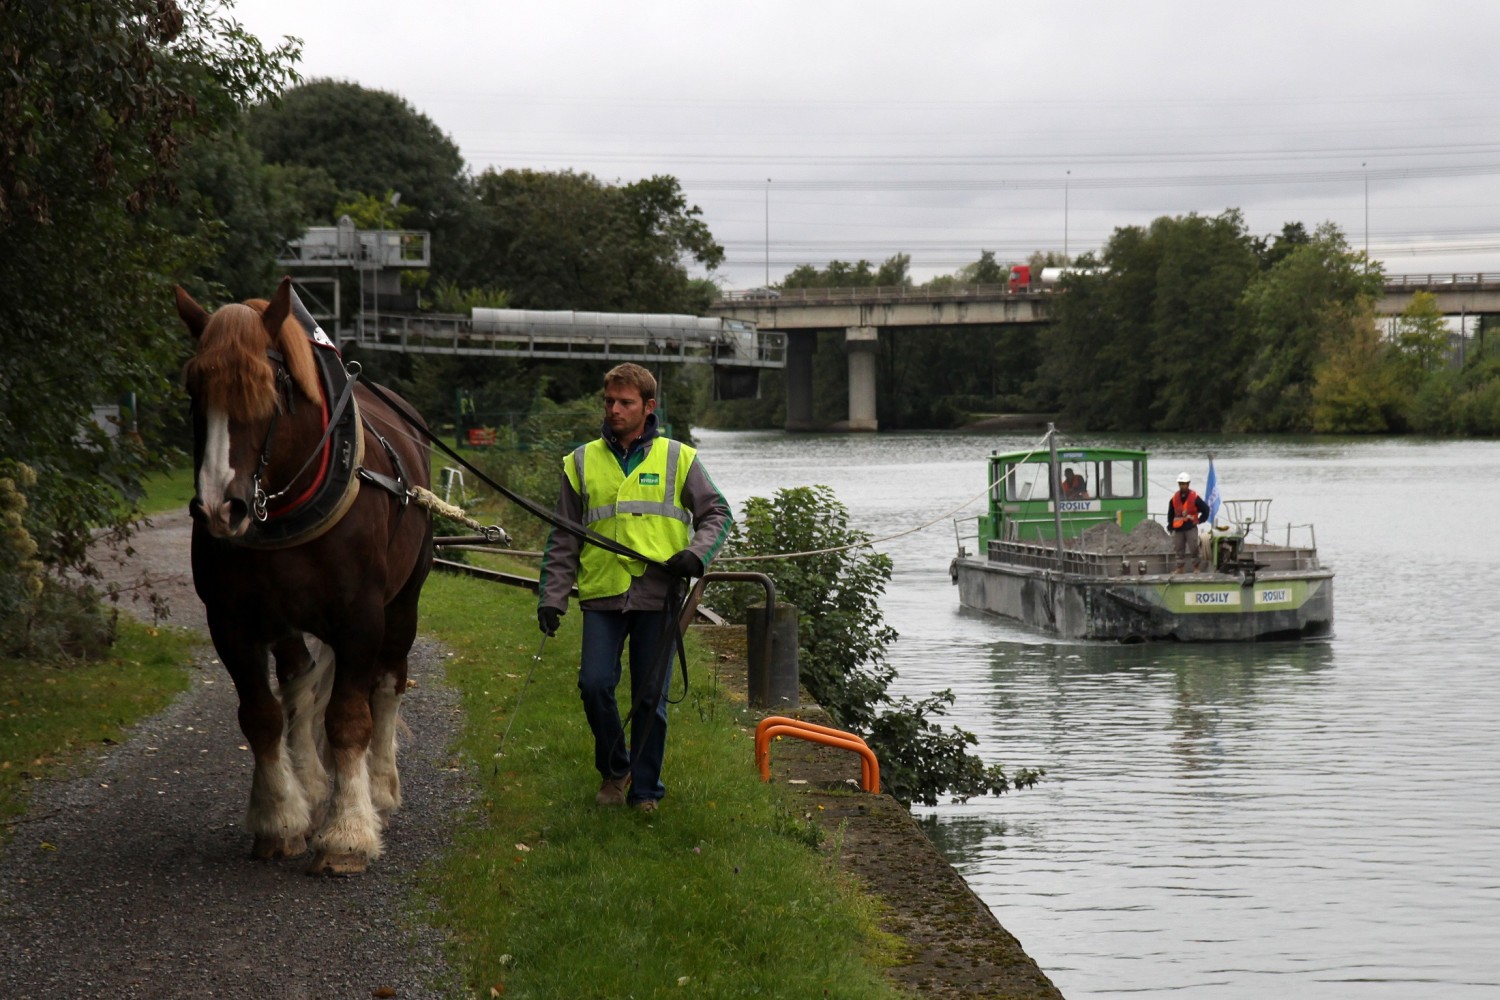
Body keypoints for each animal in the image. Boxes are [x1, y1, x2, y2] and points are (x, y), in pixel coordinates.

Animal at [174, 277, 433, 875]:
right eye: (194, 387)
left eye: (270, 386)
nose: (220, 507)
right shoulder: (231, 622)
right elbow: (261, 716)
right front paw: (278, 818)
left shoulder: (360, 618)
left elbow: (349, 719)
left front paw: (348, 834)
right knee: (297, 678)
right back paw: (312, 784)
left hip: (403, 601)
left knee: (388, 682)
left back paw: (380, 785)